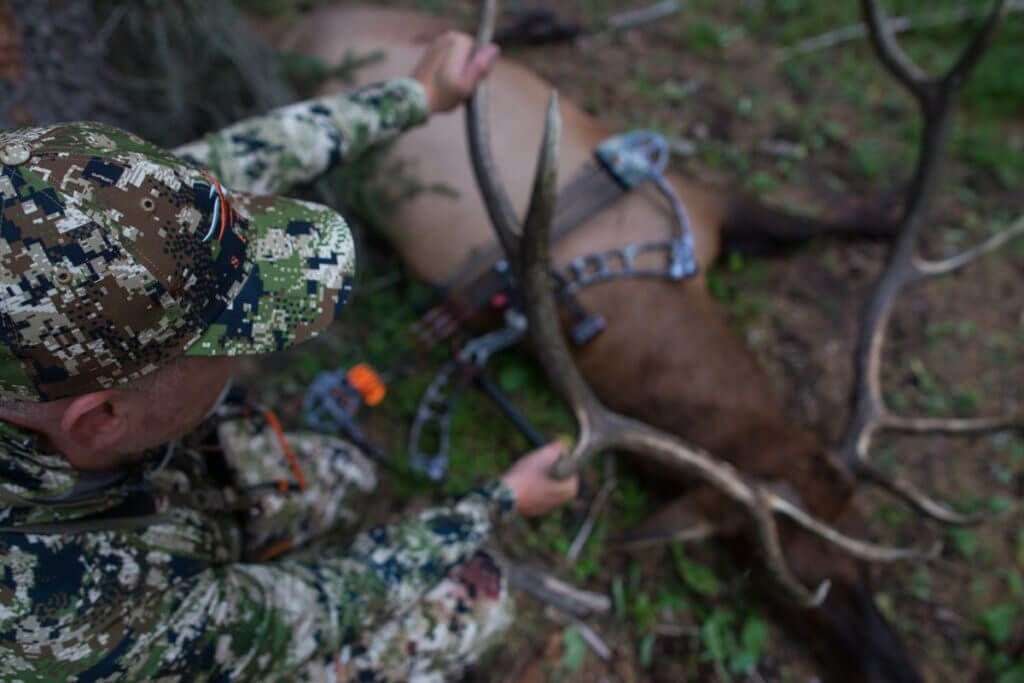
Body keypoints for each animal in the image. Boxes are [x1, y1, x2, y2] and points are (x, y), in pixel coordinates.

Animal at [267, 2, 1022, 680]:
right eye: (777, 579)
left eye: (866, 542)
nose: (898, 669)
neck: (644, 311)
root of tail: (302, 28)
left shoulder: (706, 207)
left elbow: (806, 223)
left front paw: (895, 210)